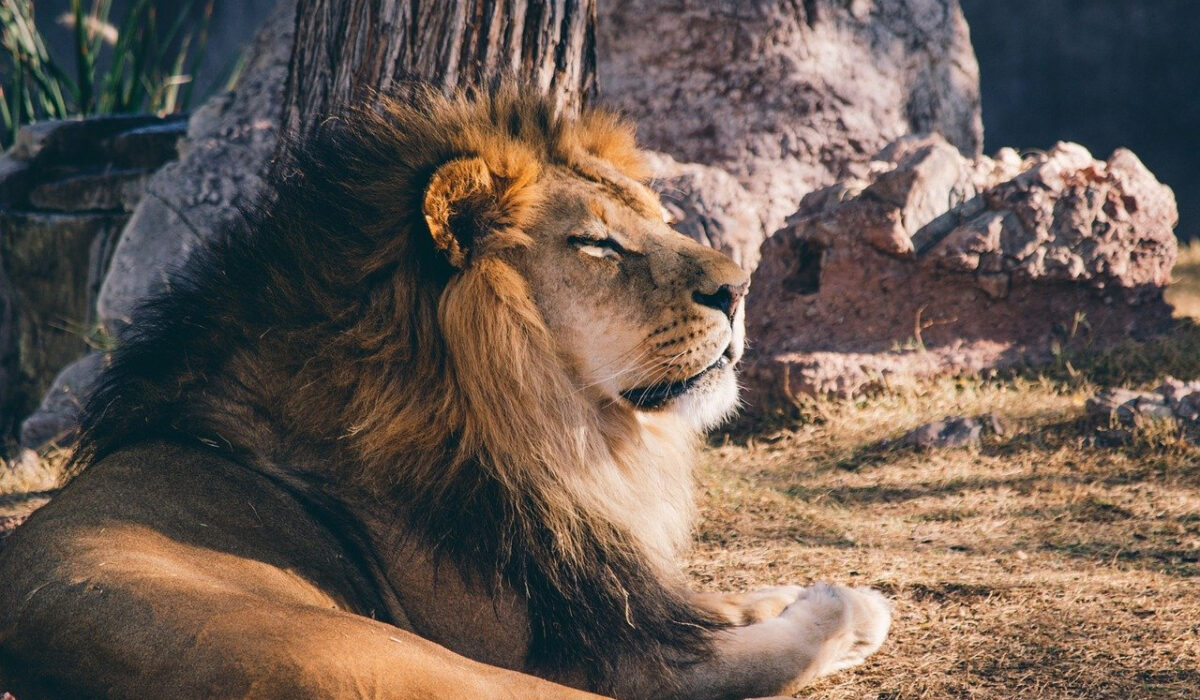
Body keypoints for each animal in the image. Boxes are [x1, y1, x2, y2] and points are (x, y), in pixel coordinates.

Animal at [0, 88, 892, 700]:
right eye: (597, 244)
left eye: (656, 218)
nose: (740, 288)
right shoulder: (586, 656)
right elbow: (751, 653)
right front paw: (844, 608)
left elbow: (709, 604)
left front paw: (784, 592)